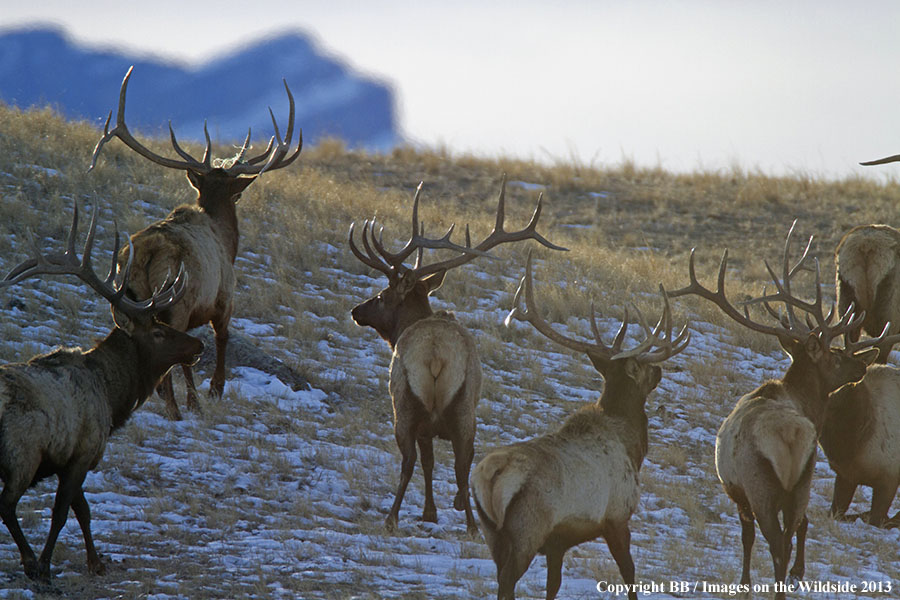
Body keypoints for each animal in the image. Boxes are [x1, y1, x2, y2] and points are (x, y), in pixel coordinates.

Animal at [0, 202, 204, 580]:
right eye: (158, 332)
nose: (198, 345)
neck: (113, 396)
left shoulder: (72, 457)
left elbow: (83, 510)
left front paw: (96, 561)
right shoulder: (83, 450)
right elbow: (63, 512)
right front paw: (46, 564)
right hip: (23, 452)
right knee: (6, 505)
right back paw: (30, 561)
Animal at [90, 65, 302, 420]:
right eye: (234, 190)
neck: (227, 241)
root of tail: (148, 252)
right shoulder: (224, 297)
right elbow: (220, 339)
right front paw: (213, 391)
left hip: (131, 294)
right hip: (176, 299)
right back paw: (178, 406)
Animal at [350, 176, 568, 532]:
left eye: (381, 296)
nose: (356, 310)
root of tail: (436, 355)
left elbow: (427, 462)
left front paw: (429, 512)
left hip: (406, 402)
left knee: (414, 461)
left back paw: (393, 518)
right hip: (465, 407)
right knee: (462, 465)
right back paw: (472, 525)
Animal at [472, 253, 688, 600]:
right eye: (641, 367)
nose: (659, 370)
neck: (632, 447)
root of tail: (489, 475)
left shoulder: (558, 541)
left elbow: (553, 585)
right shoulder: (616, 515)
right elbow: (629, 574)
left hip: (491, 532)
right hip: (527, 529)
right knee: (506, 582)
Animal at [668, 221, 884, 600]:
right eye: (835, 356)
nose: (861, 365)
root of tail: (790, 434)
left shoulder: (739, 491)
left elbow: (748, 536)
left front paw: (745, 583)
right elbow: (799, 526)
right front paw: (797, 572)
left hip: (763, 486)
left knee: (776, 542)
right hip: (799, 481)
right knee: (791, 529)